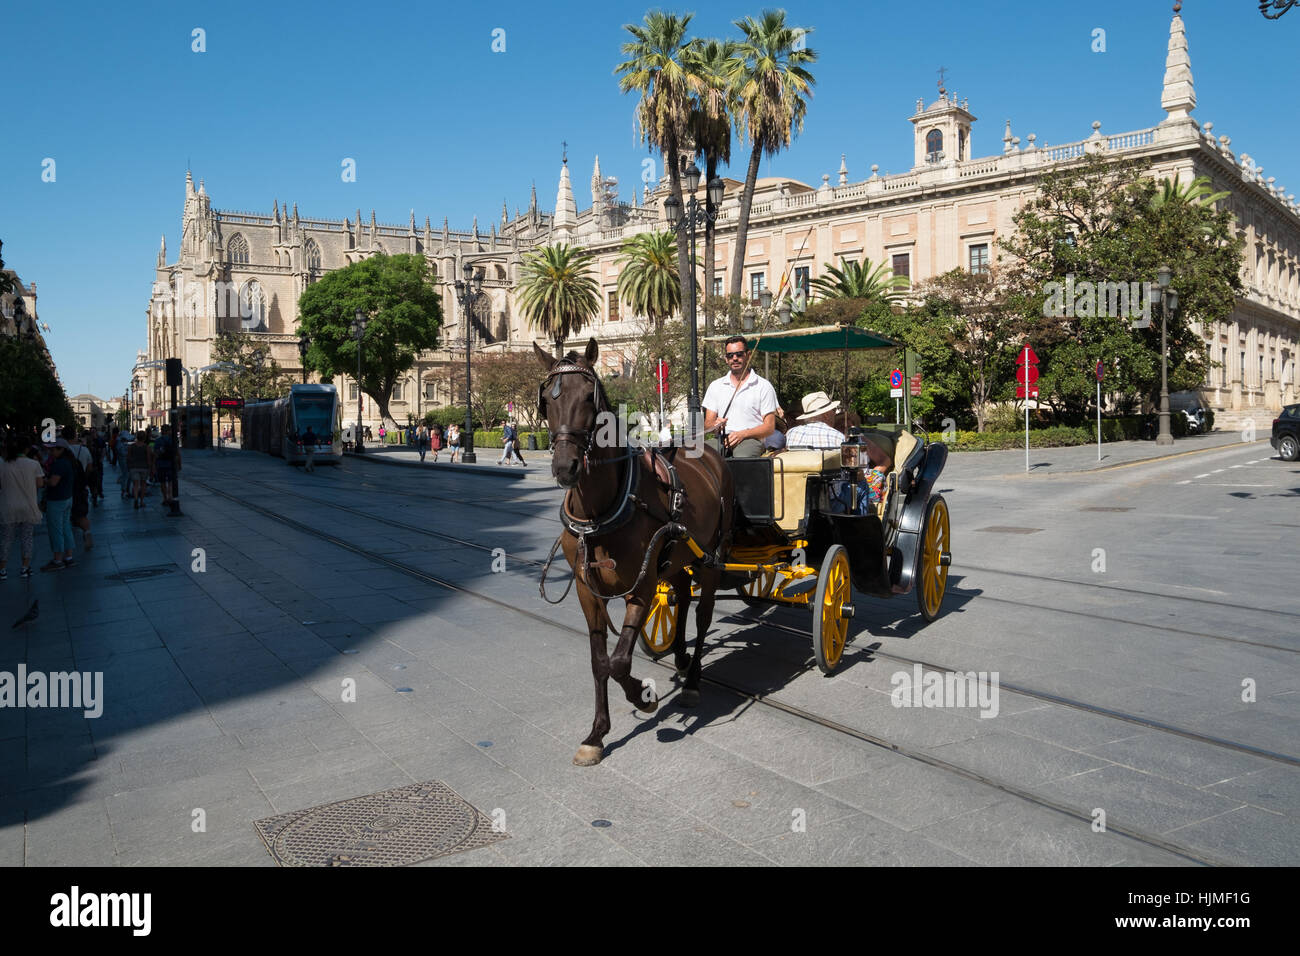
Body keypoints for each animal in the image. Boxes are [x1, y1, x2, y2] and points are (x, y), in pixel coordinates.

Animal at [530, 340, 733, 764]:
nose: (564, 467)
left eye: (588, 398)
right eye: (546, 400)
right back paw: (680, 657)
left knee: (703, 614)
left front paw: (643, 697)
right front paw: (596, 733)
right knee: (683, 597)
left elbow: (620, 662)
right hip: (675, 559)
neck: (601, 510)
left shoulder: (641, 585)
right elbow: (599, 662)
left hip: (711, 556)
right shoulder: (587, 589)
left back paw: (692, 679)